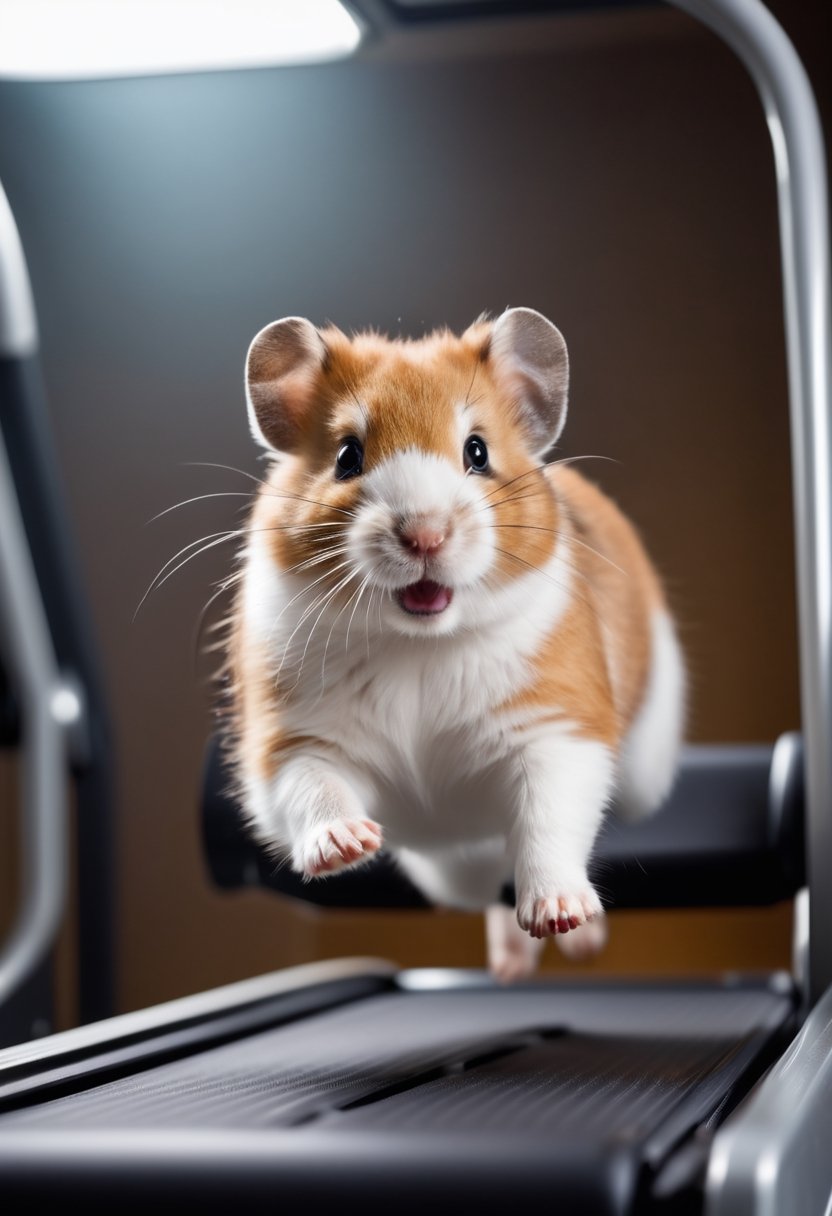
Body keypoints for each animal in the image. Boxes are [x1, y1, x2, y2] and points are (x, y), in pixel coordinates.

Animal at [223, 306, 686, 977]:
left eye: (477, 451)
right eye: (346, 456)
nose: (425, 535)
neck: (417, 644)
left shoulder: (558, 730)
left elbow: (549, 820)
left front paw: (561, 915)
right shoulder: (288, 742)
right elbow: (313, 787)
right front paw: (349, 846)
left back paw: (572, 945)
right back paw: (509, 964)